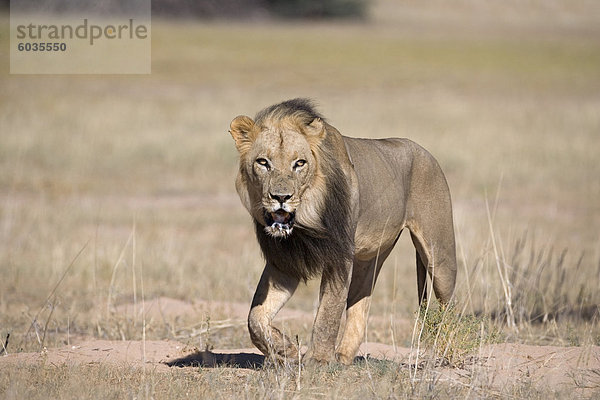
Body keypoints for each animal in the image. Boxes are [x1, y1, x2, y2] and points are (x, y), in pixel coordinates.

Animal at [227, 98, 458, 364]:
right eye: (263, 162)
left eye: (299, 163)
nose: (281, 197)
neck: (306, 222)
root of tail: (425, 151)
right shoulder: (284, 262)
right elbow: (255, 316)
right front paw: (285, 350)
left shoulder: (340, 255)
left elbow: (329, 310)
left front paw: (317, 360)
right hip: (370, 257)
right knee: (361, 303)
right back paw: (343, 356)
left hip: (440, 256)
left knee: (448, 304)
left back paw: (447, 350)